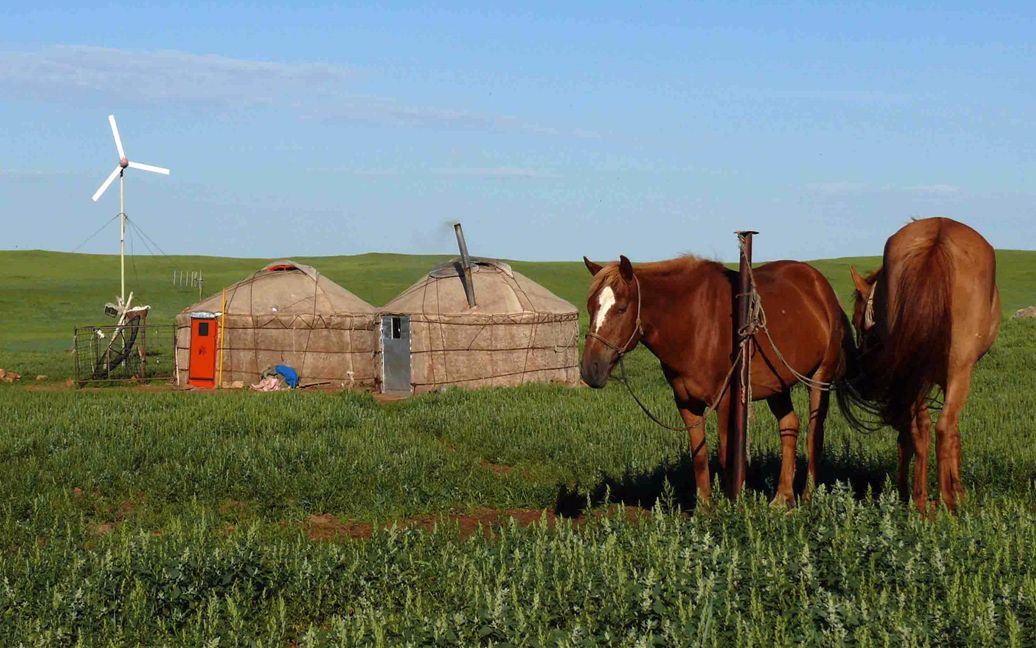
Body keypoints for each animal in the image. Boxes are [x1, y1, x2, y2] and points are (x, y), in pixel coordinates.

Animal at [580, 254, 853, 505]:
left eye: (622, 309)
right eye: (591, 307)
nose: (590, 370)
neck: (695, 324)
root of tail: (822, 288)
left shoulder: (725, 401)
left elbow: (726, 455)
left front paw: (733, 507)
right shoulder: (686, 403)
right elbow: (699, 457)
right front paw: (704, 508)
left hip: (819, 378)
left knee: (814, 433)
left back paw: (807, 496)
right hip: (779, 385)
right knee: (789, 426)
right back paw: (782, 498)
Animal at [849, 217, 1002, 510]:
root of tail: (937, 237)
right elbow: (954, 435)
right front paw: (959, 490)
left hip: (915, 375)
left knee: (920, 428)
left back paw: (920, 501)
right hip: (958, 370)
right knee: (943, 427)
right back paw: (949, 502)